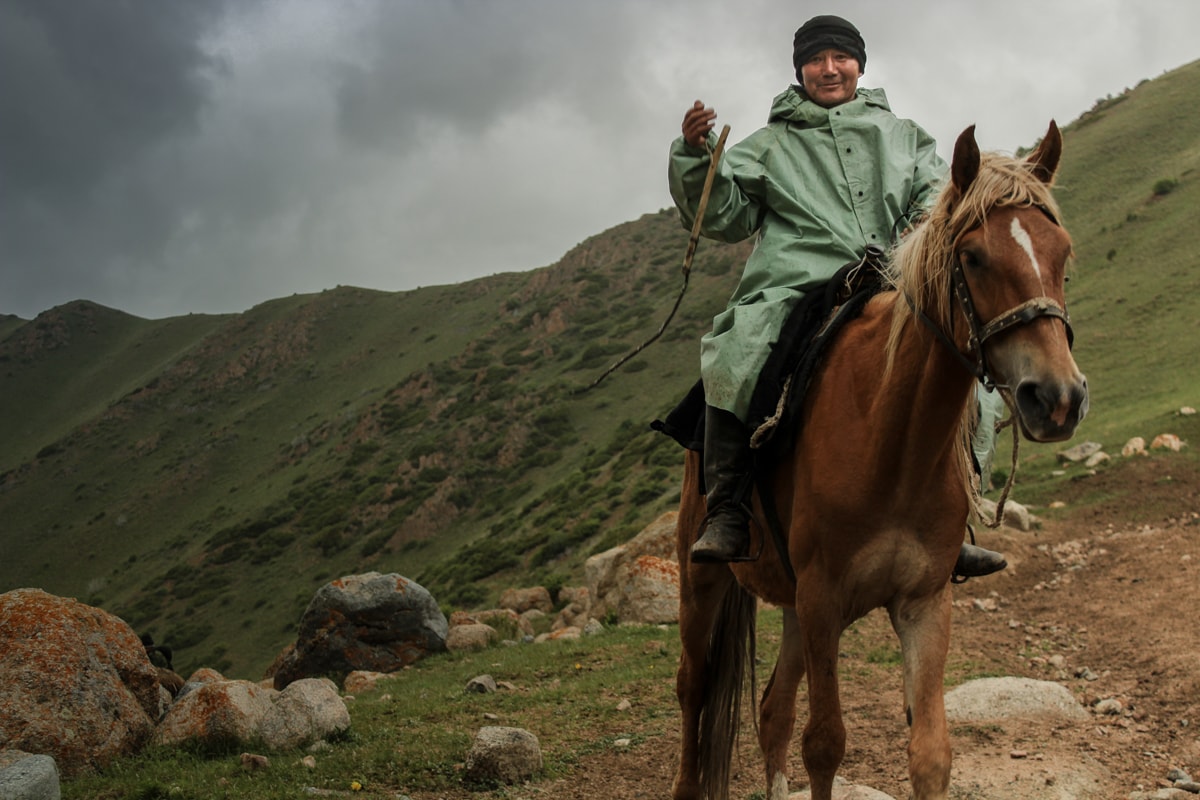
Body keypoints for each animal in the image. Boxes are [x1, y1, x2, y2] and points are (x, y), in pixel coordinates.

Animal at [676, 120, 1089, 800]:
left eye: (1062, 254)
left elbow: (930, 754)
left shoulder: (921, 602)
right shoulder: (823, 599)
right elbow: (825, 744)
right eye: (973, 258)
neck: (895, 445)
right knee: (694, 688)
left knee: (771, 710)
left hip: (793, 608)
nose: (1057, 399)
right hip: (704, 579)